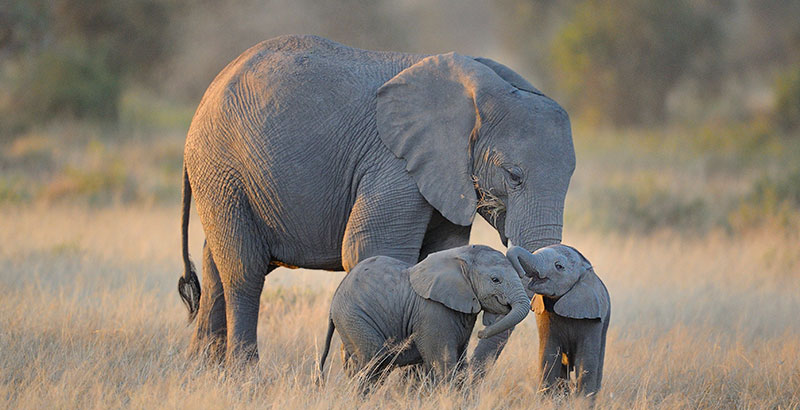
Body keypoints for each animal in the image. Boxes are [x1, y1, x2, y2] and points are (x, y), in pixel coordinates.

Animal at [179, 35, 576, 366]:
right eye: (513, 176)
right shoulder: (394, 164)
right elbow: (371, 248)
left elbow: (440, 253)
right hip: (222, 168)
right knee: (243, 271)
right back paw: (244, 375)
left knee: (215, 266)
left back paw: (202, 372)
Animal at [318, 245, 532, 390]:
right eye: (496, 280)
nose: (481, 333)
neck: (461, 256)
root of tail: (334, 299)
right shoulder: (433, 312)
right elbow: (444, 363)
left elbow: (460, 362)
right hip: (355, 318)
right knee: (373, 365)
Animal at [506, 243, 612, 398]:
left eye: (559, 266)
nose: (520, 273)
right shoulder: (544, 314)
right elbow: (549, 356)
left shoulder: (593, 318)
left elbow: (586, 360)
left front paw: (582, 401)